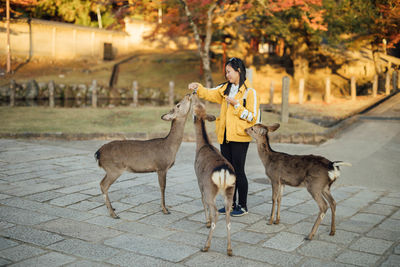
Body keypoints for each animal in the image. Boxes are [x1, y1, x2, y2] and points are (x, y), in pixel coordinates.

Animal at [191, 94, 236, 258]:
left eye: (195, 107)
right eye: (200, 105)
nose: (193, 95)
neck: (202, 145)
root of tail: (224, 171)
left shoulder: (199, 180)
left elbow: (202, 200)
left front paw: (207, 222)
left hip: (211, 188)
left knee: (215, 211)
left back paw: (206, 246)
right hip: (230, 190)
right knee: (228, 216)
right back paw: (229, 249)